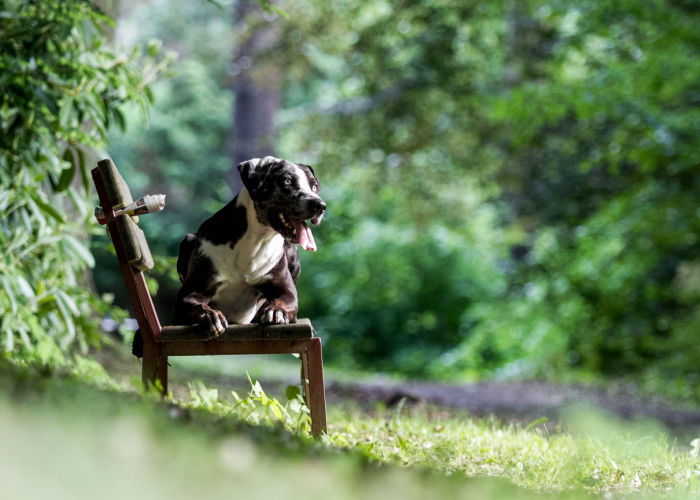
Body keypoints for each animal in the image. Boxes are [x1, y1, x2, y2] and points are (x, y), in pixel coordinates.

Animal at [172, 156, 326, 336]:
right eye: (287, 181)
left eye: (314, 186)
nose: (320, 206)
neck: (255, 241)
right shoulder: (189, 295)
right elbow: (197, 306)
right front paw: (211, 316)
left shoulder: (287, 292)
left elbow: (284, 299)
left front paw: (276, 311)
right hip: (188, 240)